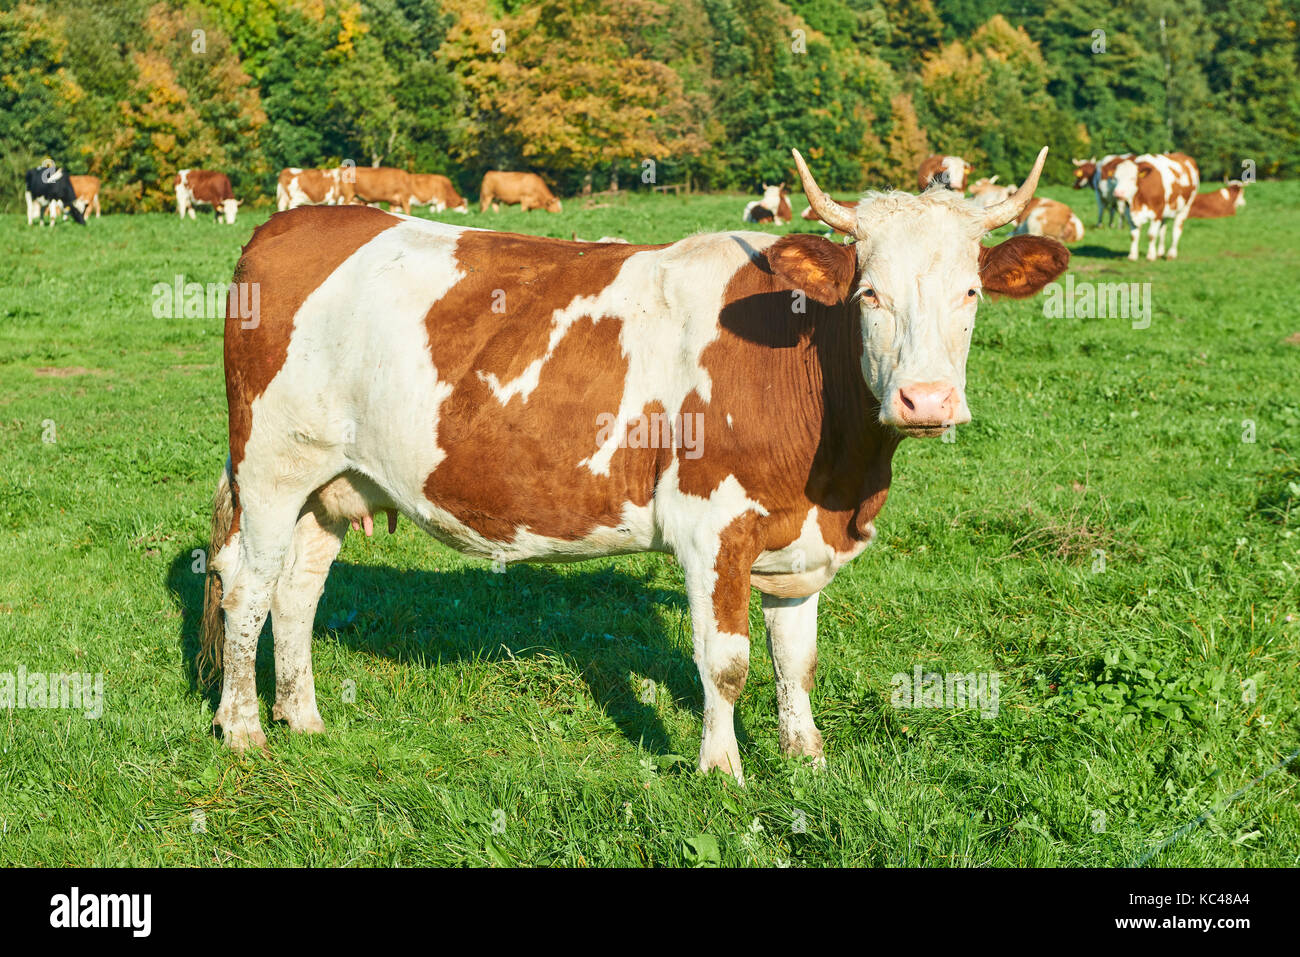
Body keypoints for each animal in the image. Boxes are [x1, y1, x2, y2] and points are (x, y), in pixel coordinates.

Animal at [196, 145, 1067, 781]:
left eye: (970, 292)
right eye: (869, 294)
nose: (927, 399)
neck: (840, 472)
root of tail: (300, 221)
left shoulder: (801, 538)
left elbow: (798, 659)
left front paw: (807, 760)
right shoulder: (711, 525)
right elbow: (726, 662)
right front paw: (722, 771)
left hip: (331, 483)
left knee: (299, 592)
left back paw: (303, 717)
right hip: (270, 468)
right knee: (246, 587)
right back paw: (242, 729)